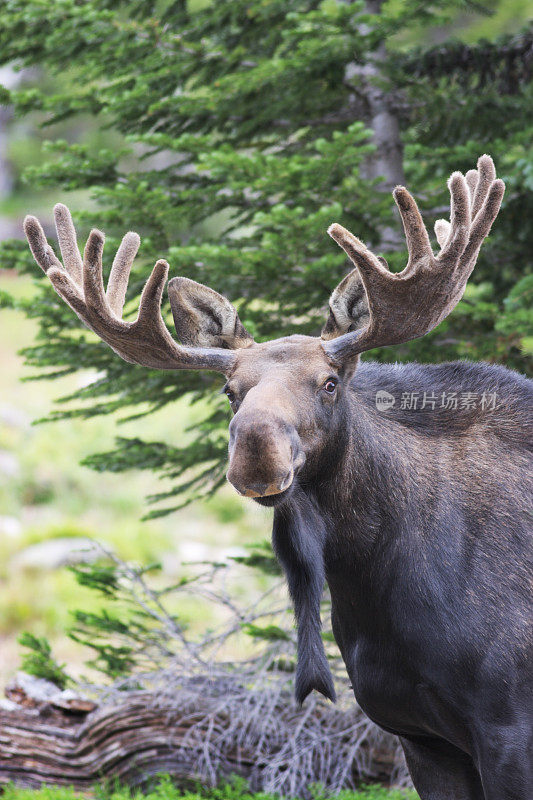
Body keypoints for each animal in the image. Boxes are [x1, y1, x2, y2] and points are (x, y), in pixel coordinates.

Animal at [25, 153, 532, 796]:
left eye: (330, 382)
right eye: (229, 391)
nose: (256, 452)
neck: (376, 584)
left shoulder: (508, 725)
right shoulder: (421, 737)